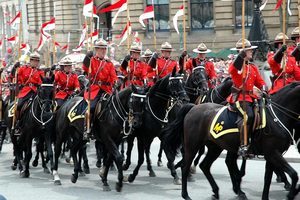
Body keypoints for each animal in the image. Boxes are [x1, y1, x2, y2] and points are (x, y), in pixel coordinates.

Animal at [163, 81, 300, 200]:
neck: (276, 116)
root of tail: (193, 108)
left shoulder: (271, 155)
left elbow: (268, 179)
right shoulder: (273, 153)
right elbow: (293, 174)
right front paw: (291, 194)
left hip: (215, 147)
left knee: (205, 165)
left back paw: (218, 191)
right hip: (192, 145)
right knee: (186, 167)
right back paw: (186, 194)